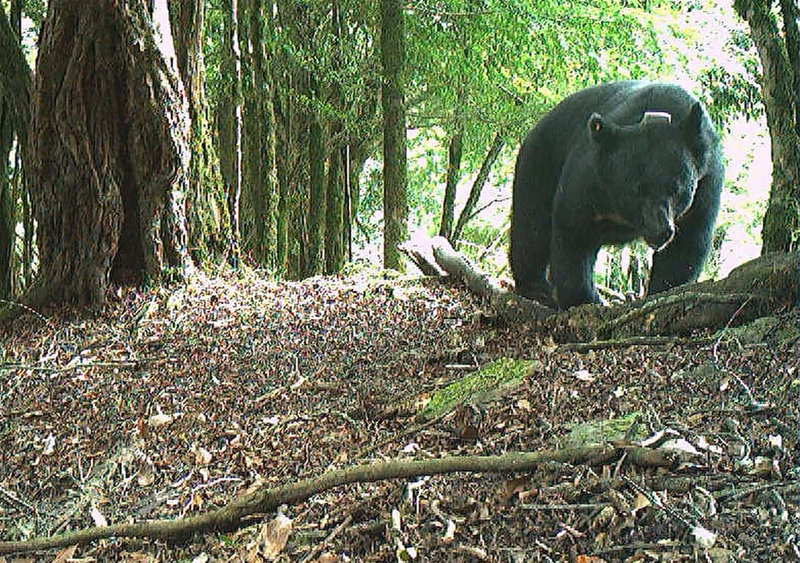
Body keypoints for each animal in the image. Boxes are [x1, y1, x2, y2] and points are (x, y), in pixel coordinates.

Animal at [512, 81, 724, 308]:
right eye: (636, 189)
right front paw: (585, 299)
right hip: (541, 160)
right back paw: (537, 288)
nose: (660, 231)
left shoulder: (705, 185)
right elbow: (574, 230)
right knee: (532, 225)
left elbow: (685, 246)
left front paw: (661, 292)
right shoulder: (589, 177)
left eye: (676, 189)